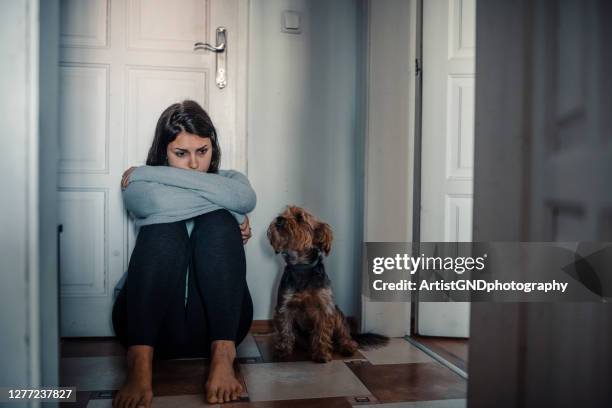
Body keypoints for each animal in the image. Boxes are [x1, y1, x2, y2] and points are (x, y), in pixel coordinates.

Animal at [266, 206, 388, 362]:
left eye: (300, 217)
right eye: (282, 213)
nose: (279, 219)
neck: (301, 267)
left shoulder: (325, 307)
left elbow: (322, 332)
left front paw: (321, 354)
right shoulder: (284, 305)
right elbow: (284, 330)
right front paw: (283, 352)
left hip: (338, 314)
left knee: (345, 336)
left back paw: (347, 347)